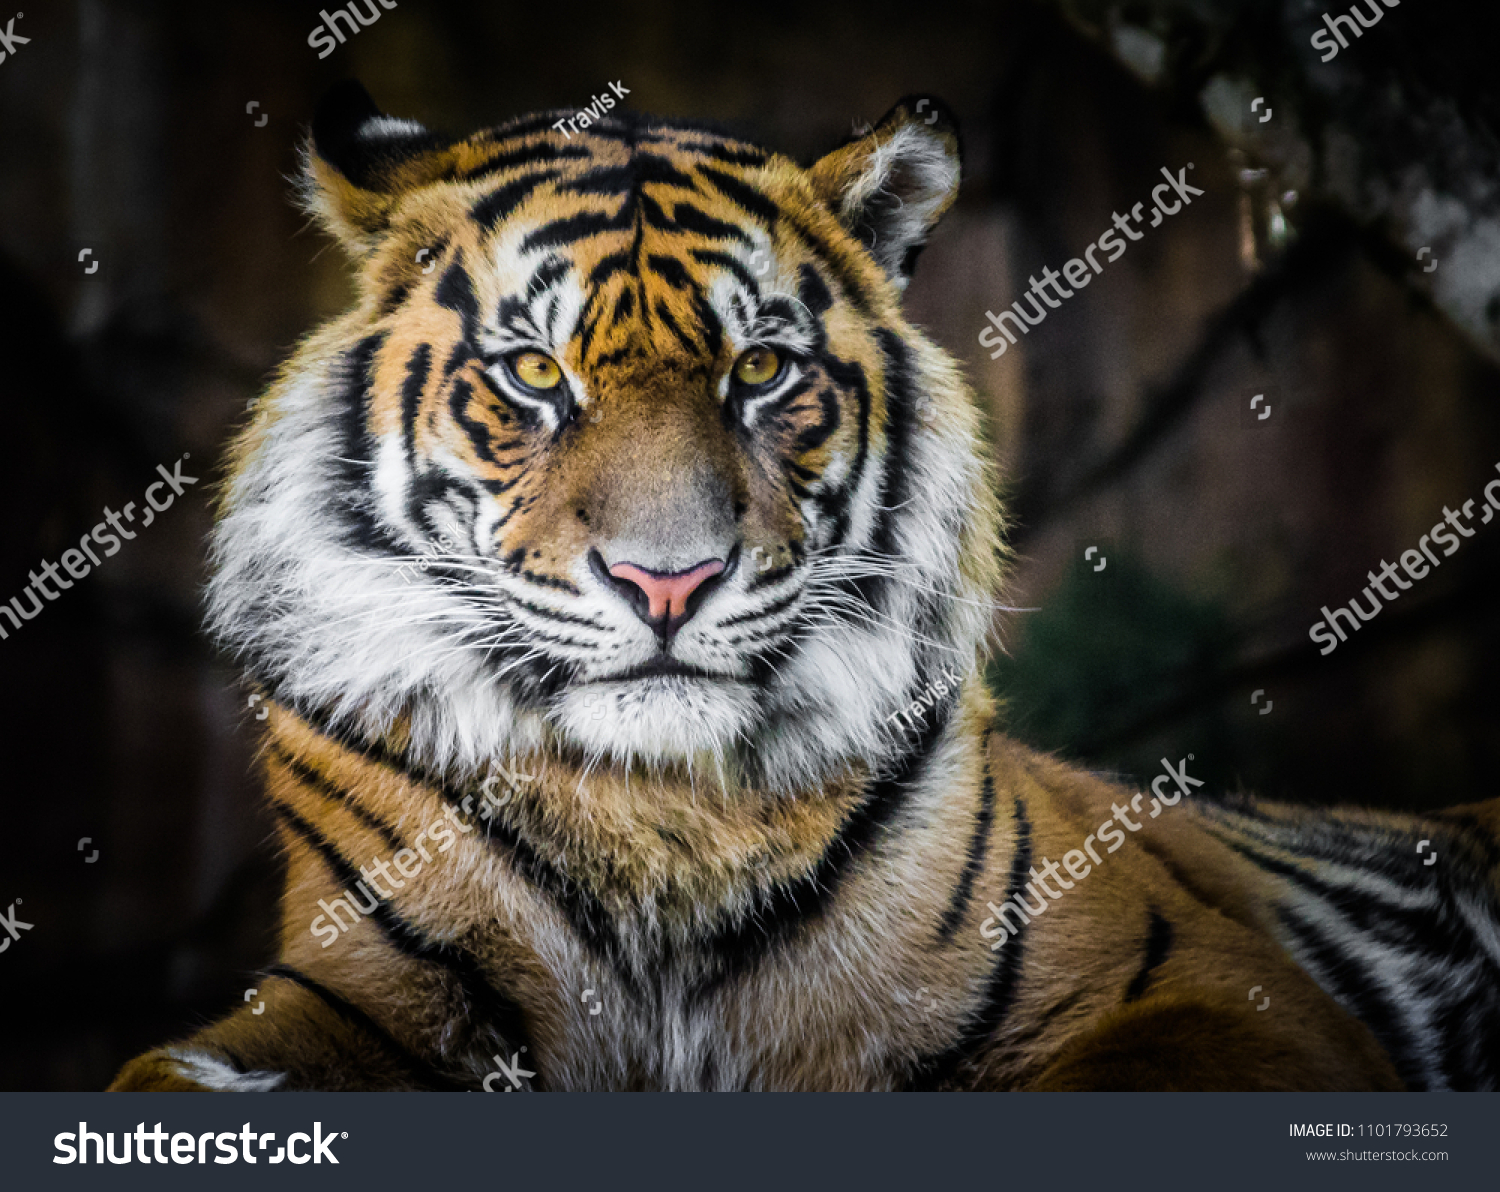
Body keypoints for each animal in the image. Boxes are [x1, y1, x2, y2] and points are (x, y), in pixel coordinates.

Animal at [109, 81, 1500, 1092]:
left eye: (762, 370)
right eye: (538, 374)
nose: (665, 581)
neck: (659, 814)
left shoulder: (1194, 976)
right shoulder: (358, 988)